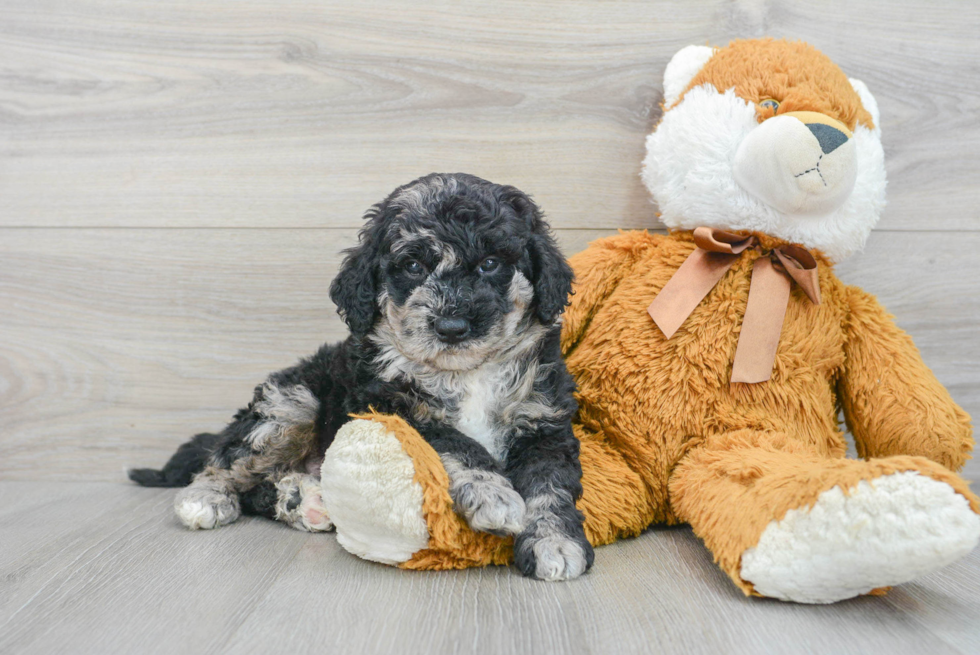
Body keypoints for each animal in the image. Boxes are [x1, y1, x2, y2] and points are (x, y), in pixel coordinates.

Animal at [127, 173, 592, 580]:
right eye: (412, 266)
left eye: (491, 263)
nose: (452, 327)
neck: (463, 372)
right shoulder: (390, 406)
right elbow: (459, 444)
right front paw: (493, 494)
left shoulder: (544, 423)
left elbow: (549, 487)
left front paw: (554, 544)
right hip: (290, 403)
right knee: (226, 461)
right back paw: (205, 498)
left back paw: (302, 501)